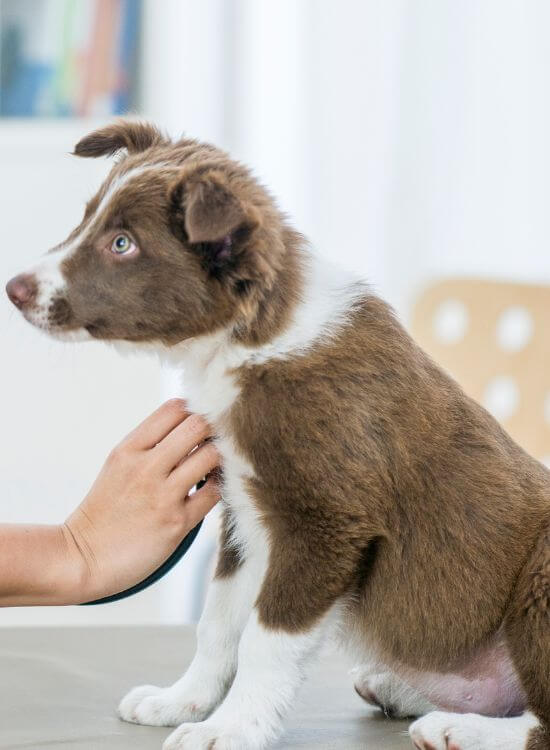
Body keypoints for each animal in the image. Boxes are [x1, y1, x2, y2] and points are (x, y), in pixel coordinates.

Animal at [5, 120, 550, 748]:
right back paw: (400, 690)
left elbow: (265, 642)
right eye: (88, 219)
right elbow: (218, 623)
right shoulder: (245, 515)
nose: (14, 289)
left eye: (123, 244)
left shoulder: (325, 525)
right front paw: (183, 701)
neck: (249, 339)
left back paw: (457, 728)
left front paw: (232, 728)